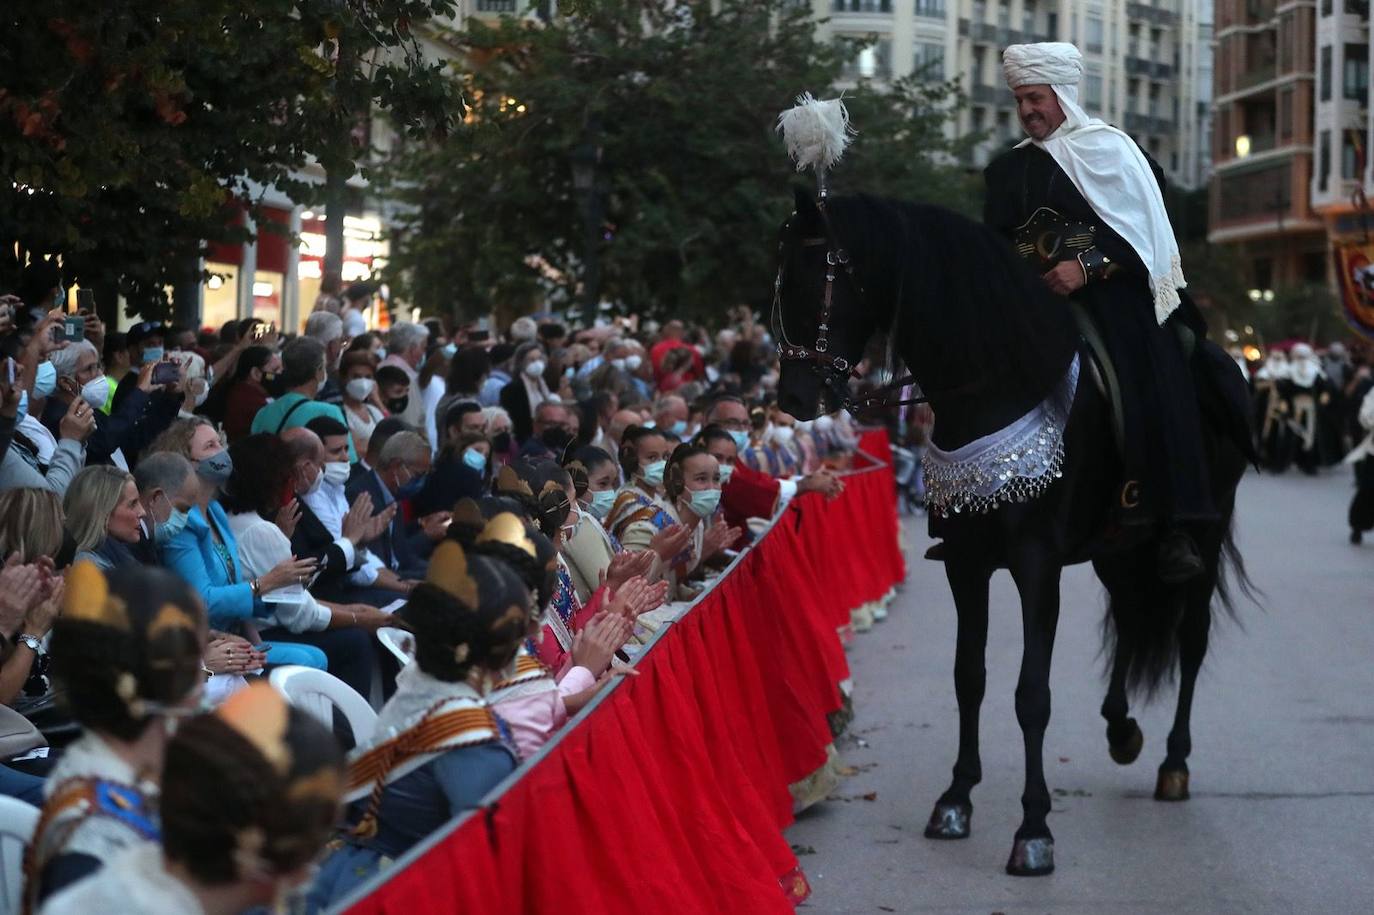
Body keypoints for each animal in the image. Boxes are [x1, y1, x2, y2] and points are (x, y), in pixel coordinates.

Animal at [774, 186, 1258, 879]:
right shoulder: (966, 563)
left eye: (822, 275)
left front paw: (1033, 832)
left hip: (1207, 528)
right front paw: (955, 800)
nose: (792, 396)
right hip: (1118, 546)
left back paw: (1173, 763)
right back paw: (1122, 731)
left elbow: (1032, 694)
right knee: (1130, 616)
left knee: (1190, 639)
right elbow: (968, 678)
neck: (997, 382)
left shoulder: (1036, 565)